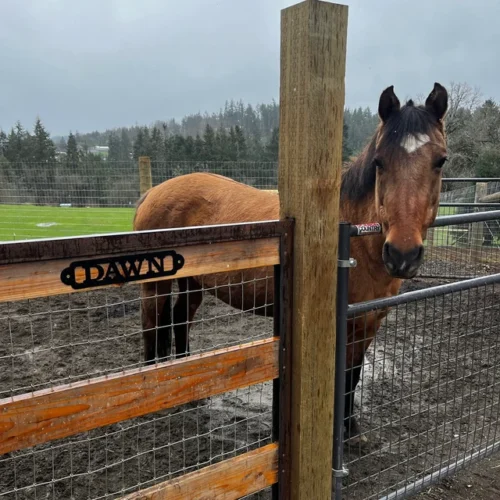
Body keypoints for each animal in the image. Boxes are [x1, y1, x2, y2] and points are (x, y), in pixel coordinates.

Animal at [134, 83, 450, 446]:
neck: (356, 240)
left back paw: (189, 389)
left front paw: (353, 431)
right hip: (155, 284)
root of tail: (154, 192)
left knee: (179, 320)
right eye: (379, 162)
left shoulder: (369, 324)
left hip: (194, 284)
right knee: (152, 322)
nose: (402, 255)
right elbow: (342, 378)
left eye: (441, 160)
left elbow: (353, 376)